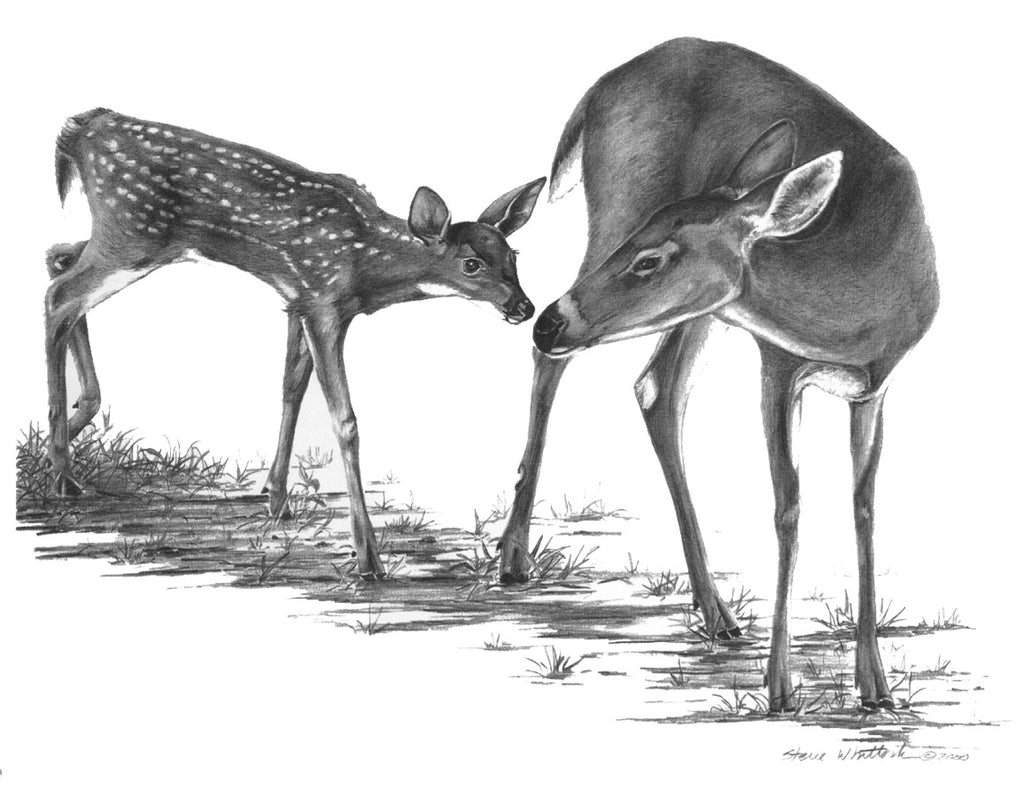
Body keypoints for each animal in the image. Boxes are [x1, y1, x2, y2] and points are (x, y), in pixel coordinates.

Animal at [45, 107, 545, 579]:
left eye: (513, 256)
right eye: (471, 264)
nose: (524, 307)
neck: (365, 264)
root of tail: (84, 126)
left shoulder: (297, 301)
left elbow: (291, 390)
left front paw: (277, 498)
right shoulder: (322, 302)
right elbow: (345, 422)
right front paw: (368, 559)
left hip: (123, 240)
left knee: (58, 257)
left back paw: (73, 424)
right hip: (133, 234)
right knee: (60, 295)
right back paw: (63, 472)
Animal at [497, 38, 938, 712]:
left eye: (652, 259)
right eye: (641, 246)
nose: (548, 321)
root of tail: (599, 90)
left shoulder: (876, 387)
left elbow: (863, 506)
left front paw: (875, 685)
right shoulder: (777, 362)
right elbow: (788, 507)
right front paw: (780, 689)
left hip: (694, 307)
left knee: (655, 386)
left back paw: (716, 612)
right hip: (622, 201)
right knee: (566, 365)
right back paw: (514, 557)